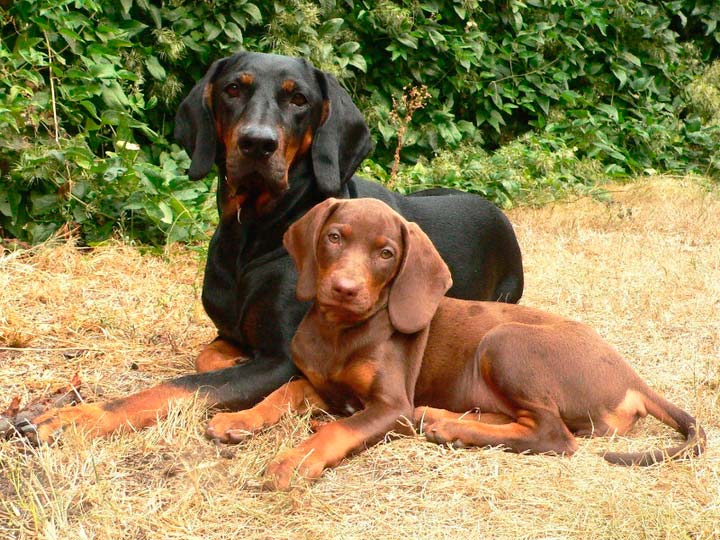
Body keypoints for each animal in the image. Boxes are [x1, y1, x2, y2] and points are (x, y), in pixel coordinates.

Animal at [23, 52, 523, 443]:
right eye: (232, 89)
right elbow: (208, 357)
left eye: (298, 99)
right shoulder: (234, 336)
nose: (257, 144)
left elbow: (179, 385)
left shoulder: (284, 359)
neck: (251, 235)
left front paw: (75, 417)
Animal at [205, 198, 705, 491]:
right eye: (333, 237)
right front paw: (237, 419)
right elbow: (282, 392)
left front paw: (294, 460)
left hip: (504, 342)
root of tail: (631, 377)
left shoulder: (391, 405)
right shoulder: (322, 385)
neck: (340, 332)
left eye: (386, 253)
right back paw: (445, 420)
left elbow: (336, 429)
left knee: (553, 435)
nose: (345, 289)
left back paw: (449, 427)